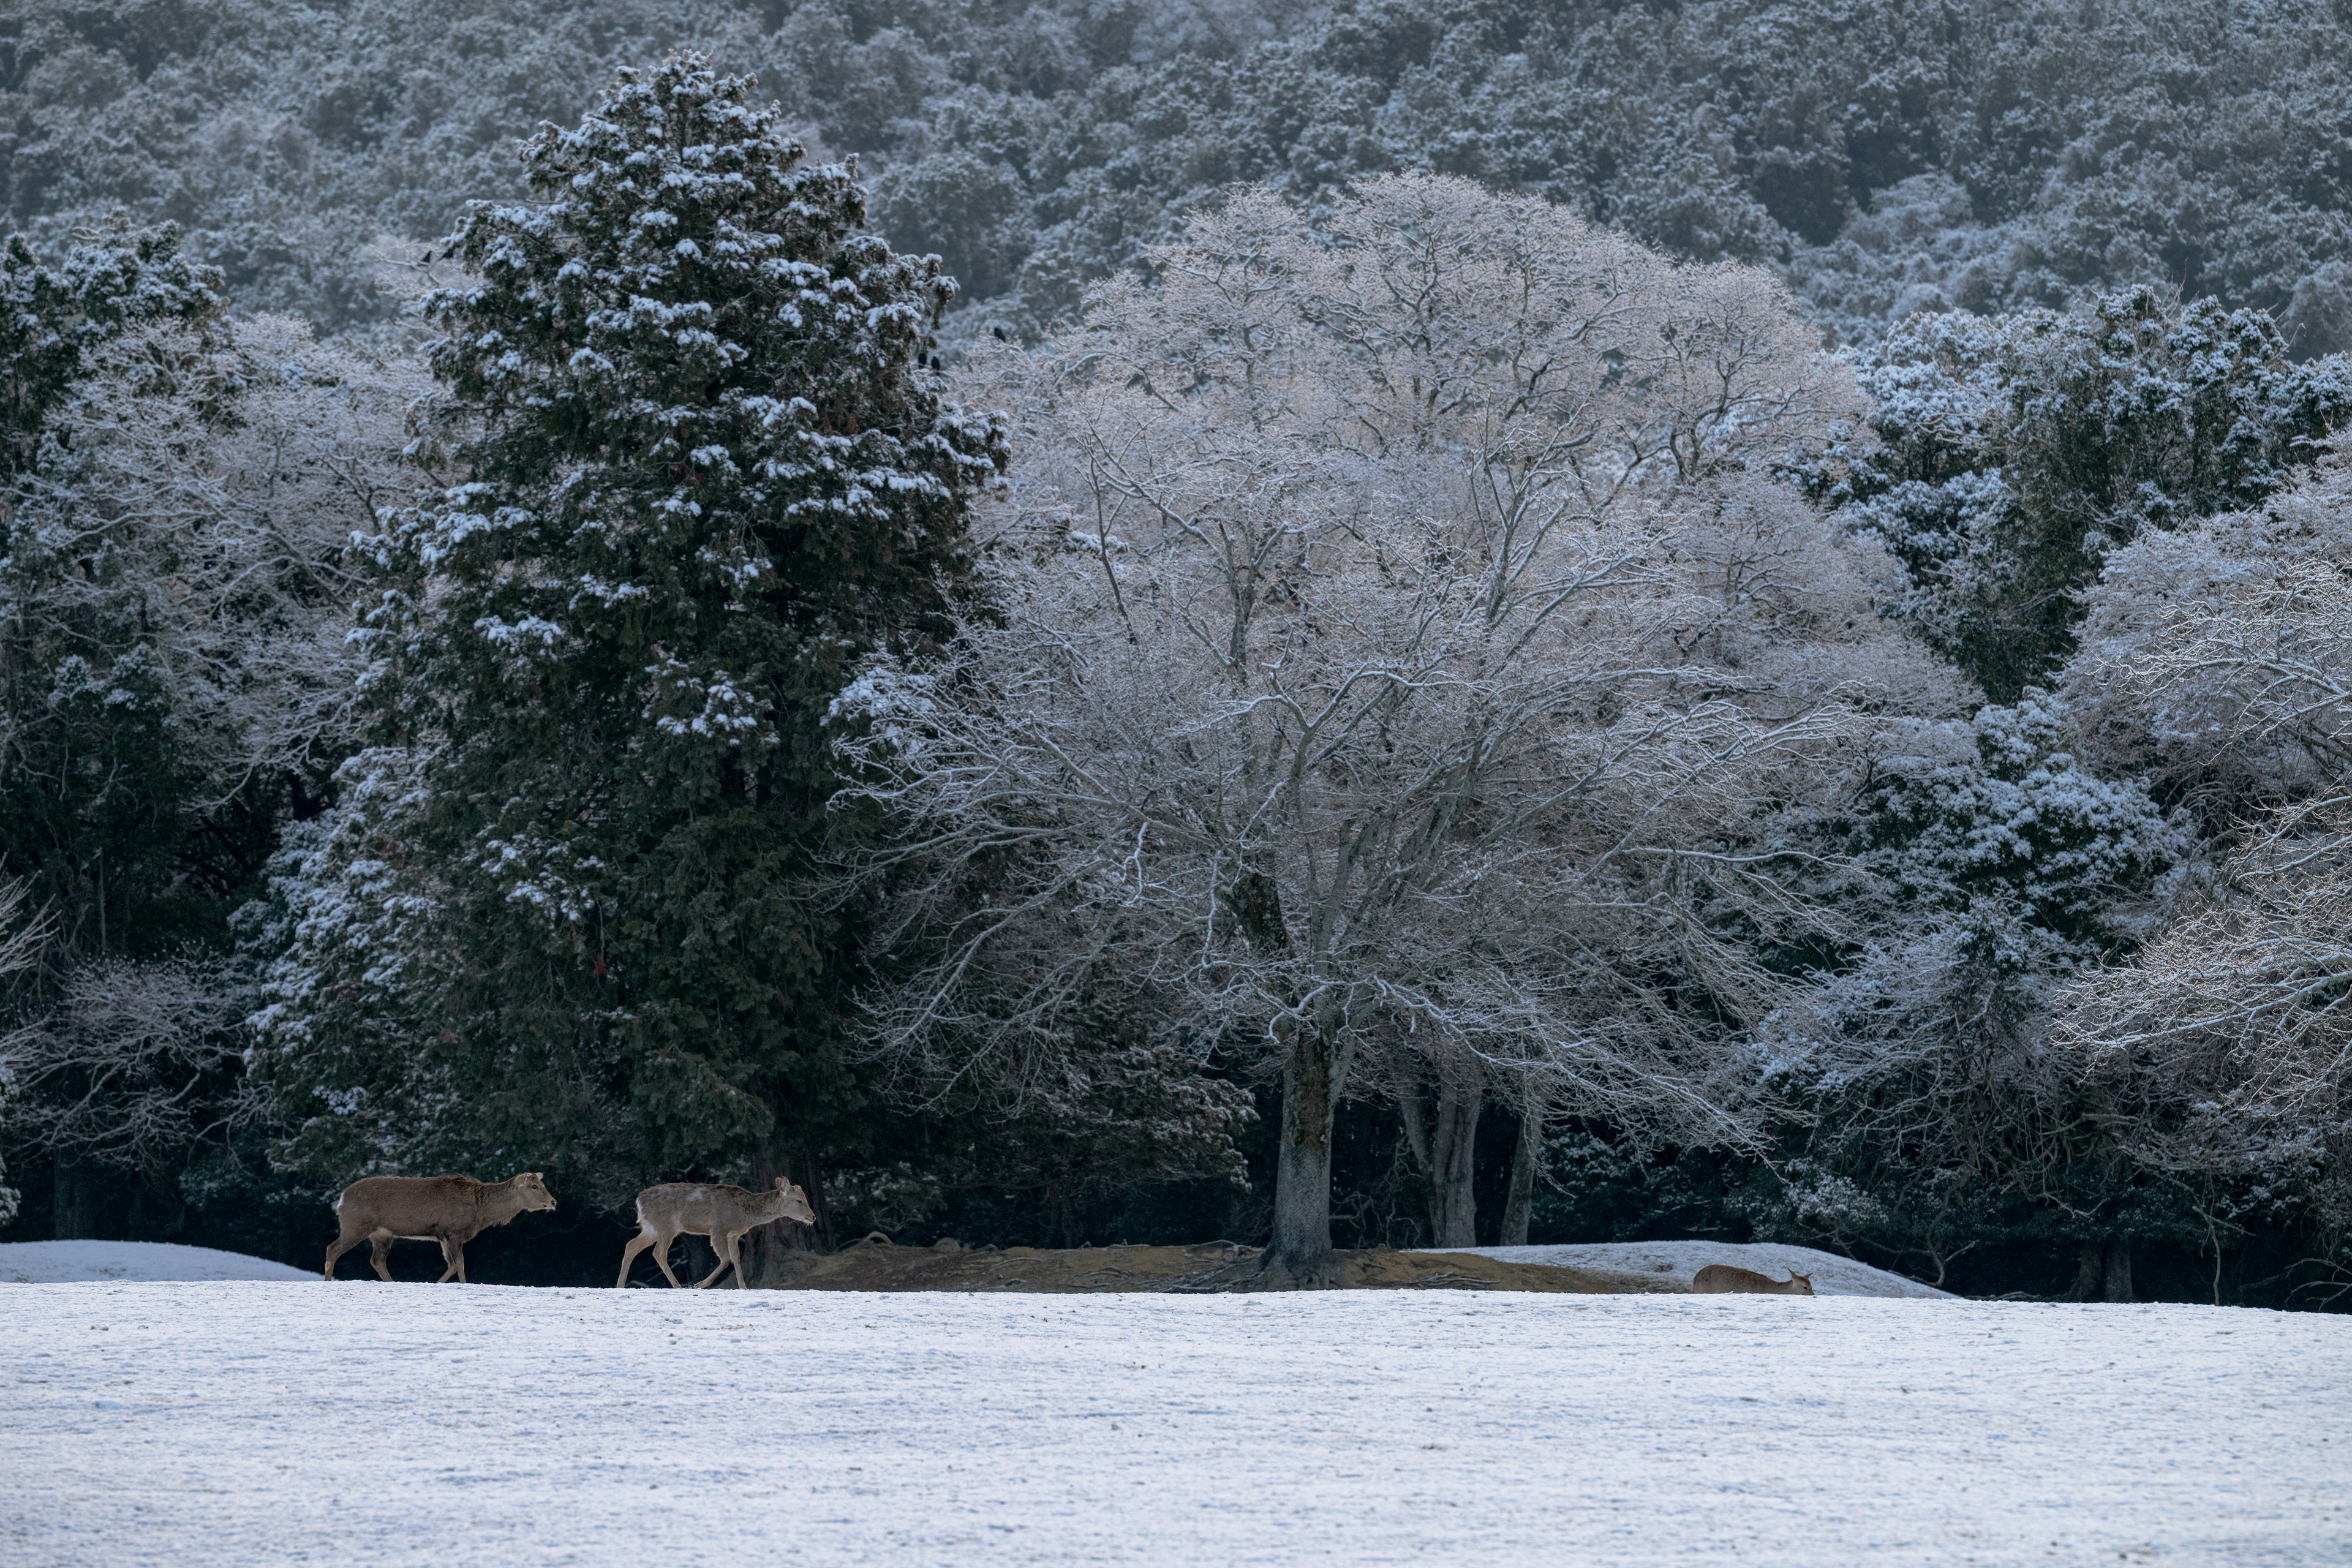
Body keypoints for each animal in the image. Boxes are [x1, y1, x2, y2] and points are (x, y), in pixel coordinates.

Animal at [324, 1170, 557, 1278]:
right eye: (535, 1186)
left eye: (542, 1183)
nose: (553, 1202)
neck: (480, 1212)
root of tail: (342, 1200)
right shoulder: (454, 1231)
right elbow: (460, 1264)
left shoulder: (443, 1236)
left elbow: (452, 1264)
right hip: (356, 1224)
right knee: (333, 1248)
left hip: (382, 1234)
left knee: (377, 1260)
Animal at [616, 1175, 818, 1288]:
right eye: (800, 1200)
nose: (813, 1217)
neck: (744, 1213)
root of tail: (639, 1200)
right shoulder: (718, 1229)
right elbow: (726, 1259)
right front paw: (699, 1284)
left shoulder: (734, 1234)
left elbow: (736, 1258)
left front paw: (744, 1287)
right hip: (667, 1225)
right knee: (659, 1253)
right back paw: (678, 1286)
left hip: (652, 1227)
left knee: (631, 1245)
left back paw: (619, 1285)